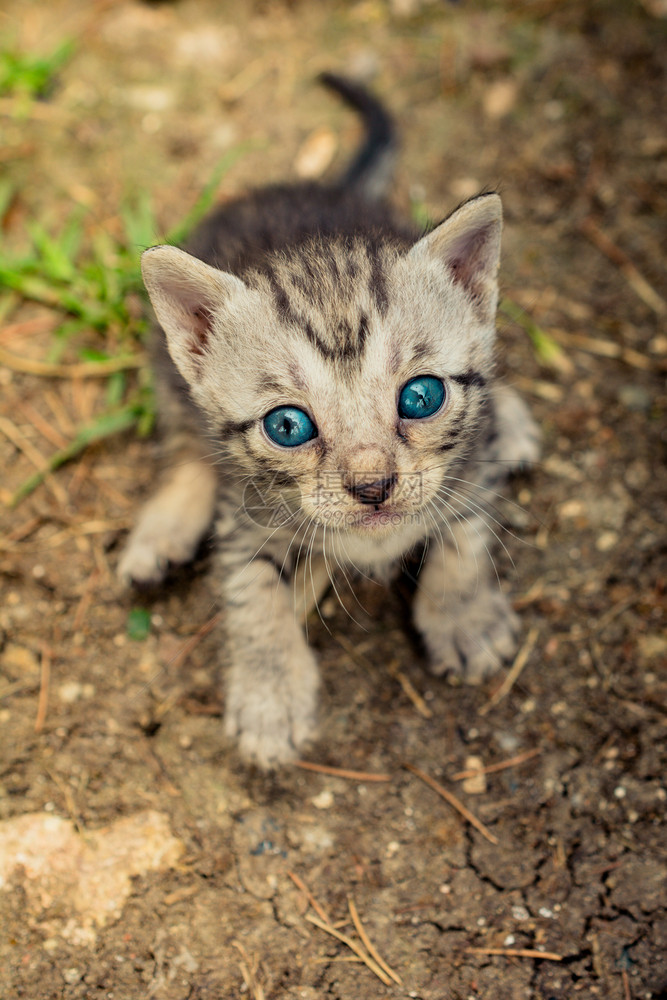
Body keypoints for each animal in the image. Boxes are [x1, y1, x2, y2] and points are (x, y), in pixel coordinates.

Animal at [118, 76, 536, 764]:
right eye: (287, 427)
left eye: (421, 397)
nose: (373, 488)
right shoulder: (245, 513)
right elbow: (249, 590)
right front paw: (269, 695)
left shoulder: (471, 465)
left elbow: (467, 531)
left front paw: (464, 615)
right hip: (165, 367)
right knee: (187, 447)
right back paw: (162, 533)